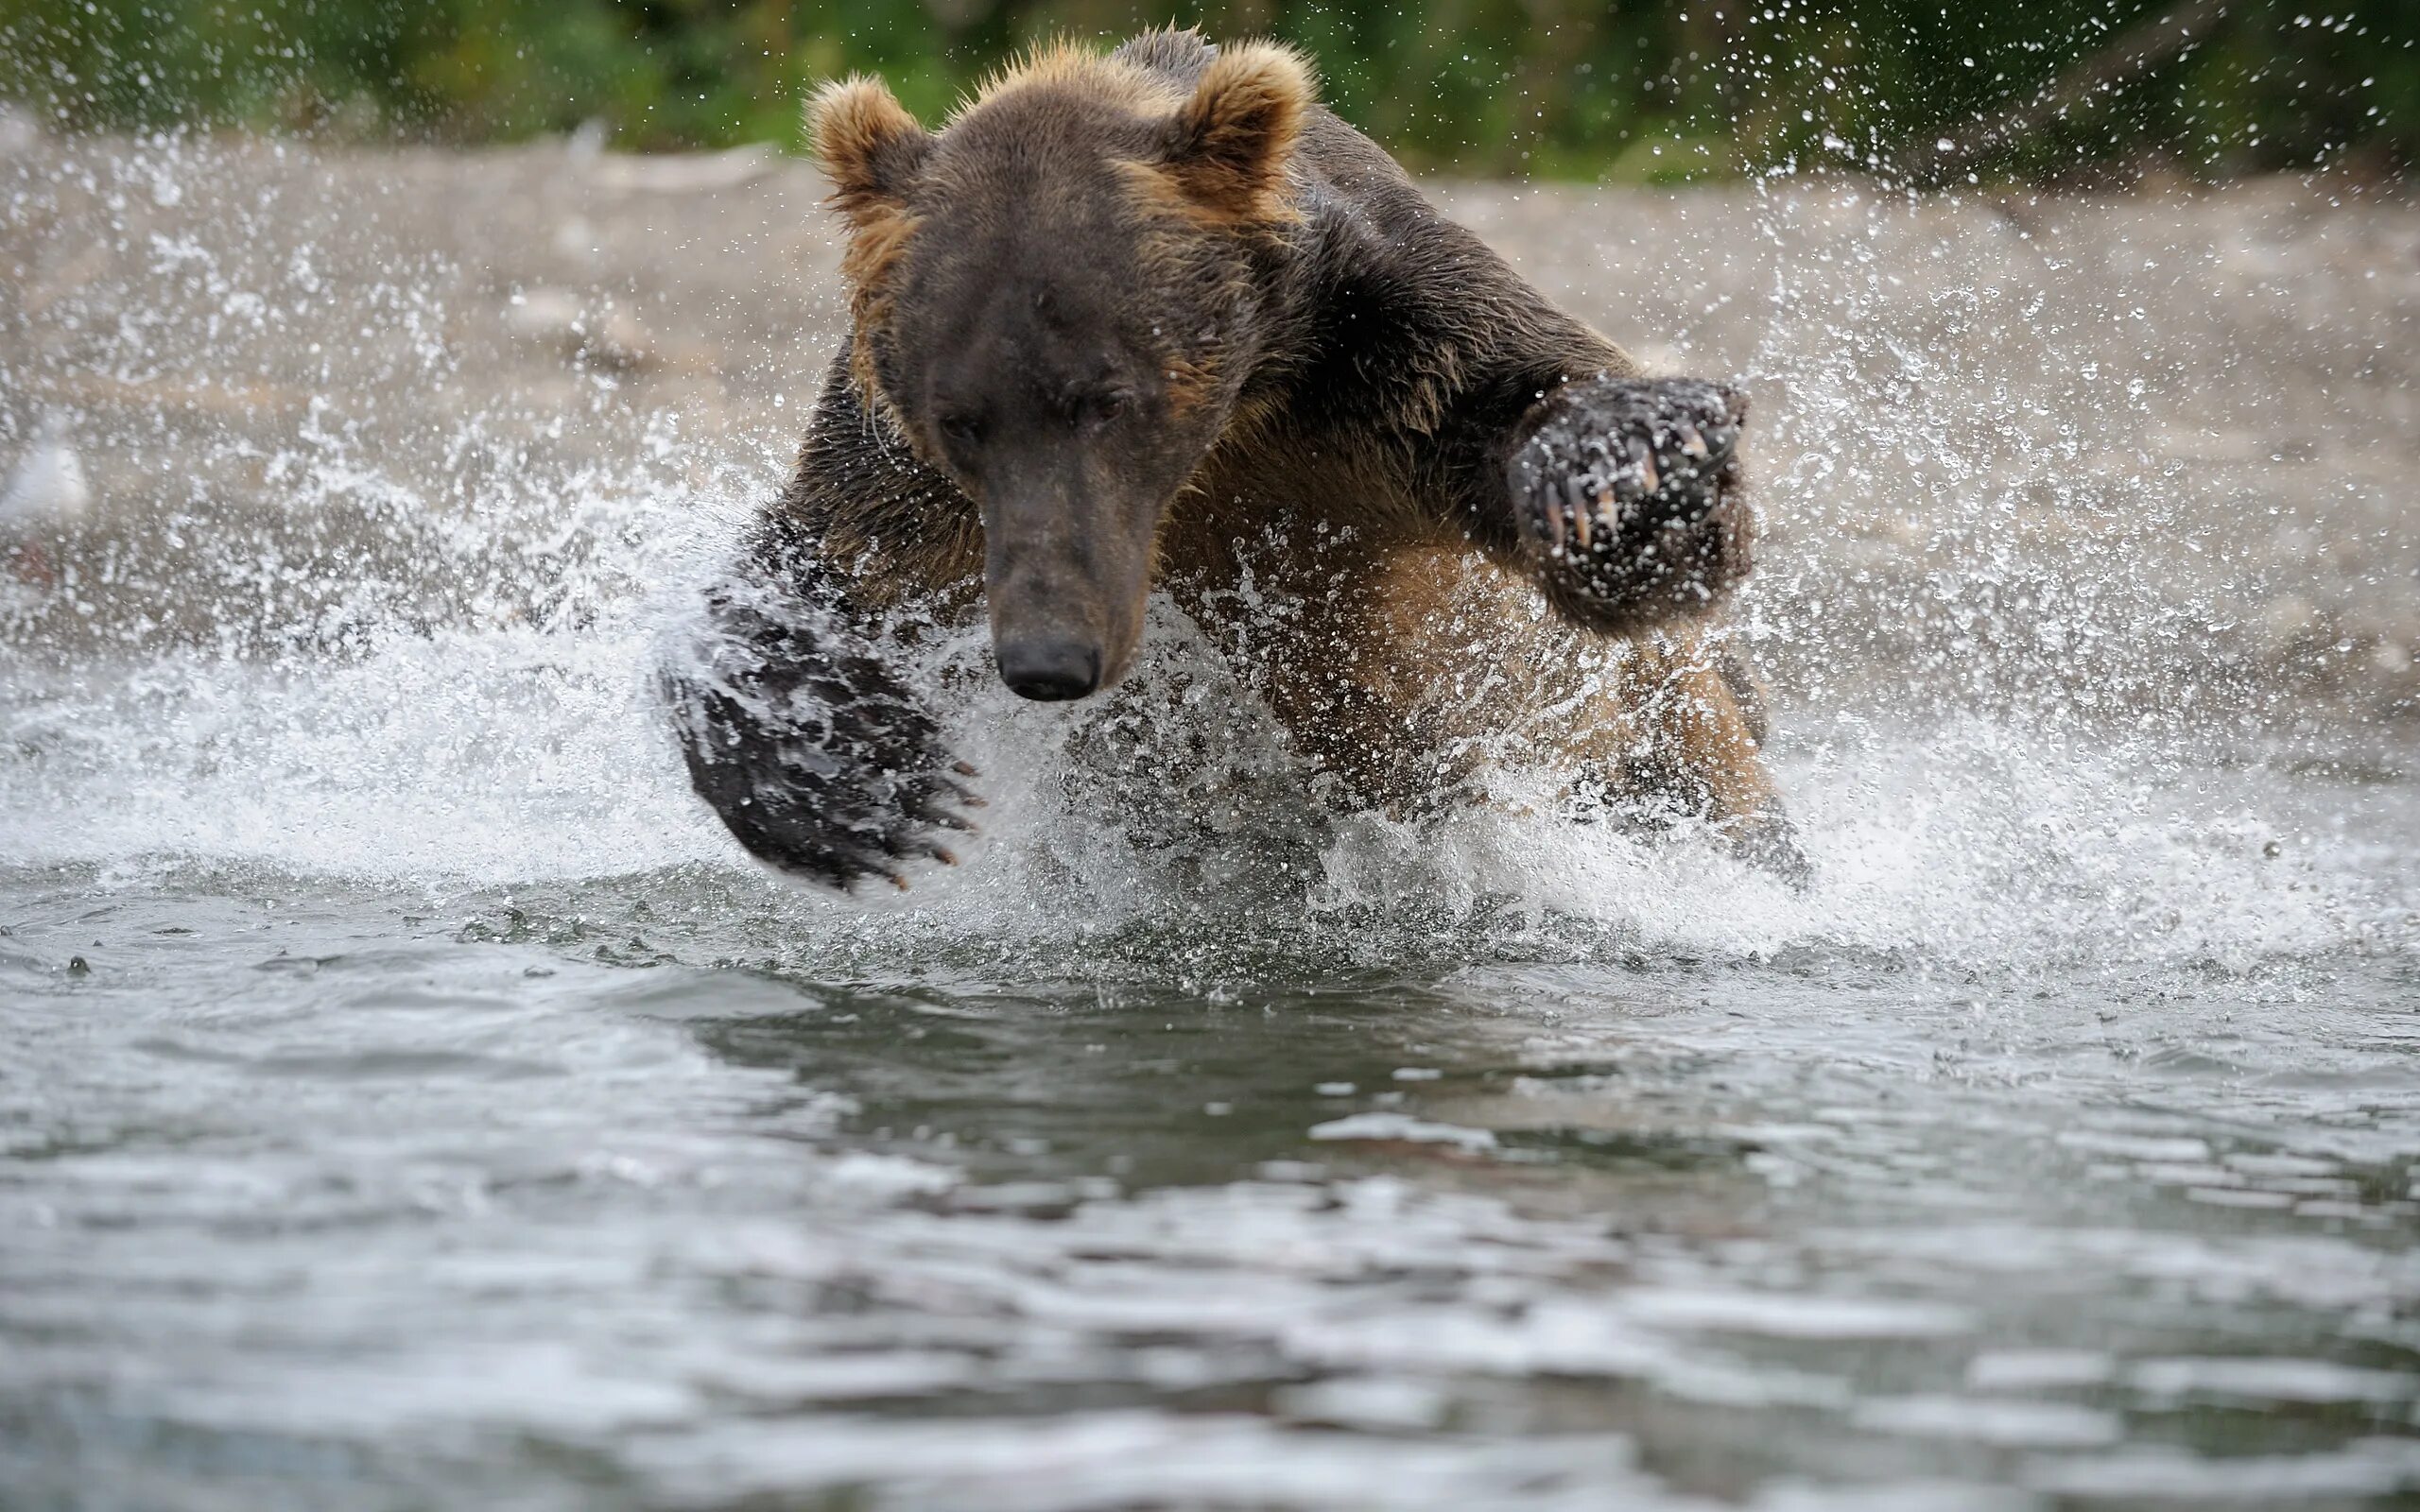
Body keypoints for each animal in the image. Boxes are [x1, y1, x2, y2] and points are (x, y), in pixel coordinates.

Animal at [663, 26, 1800, 885]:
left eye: (1107, 398)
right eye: (961, 418)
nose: (1045, 656)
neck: (1230, 425)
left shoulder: (1375, 353)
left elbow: (1522, 395)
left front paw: (1620, 480)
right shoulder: (908, 473)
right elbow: (819, 560)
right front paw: (853, 780)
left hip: (1657, 731)